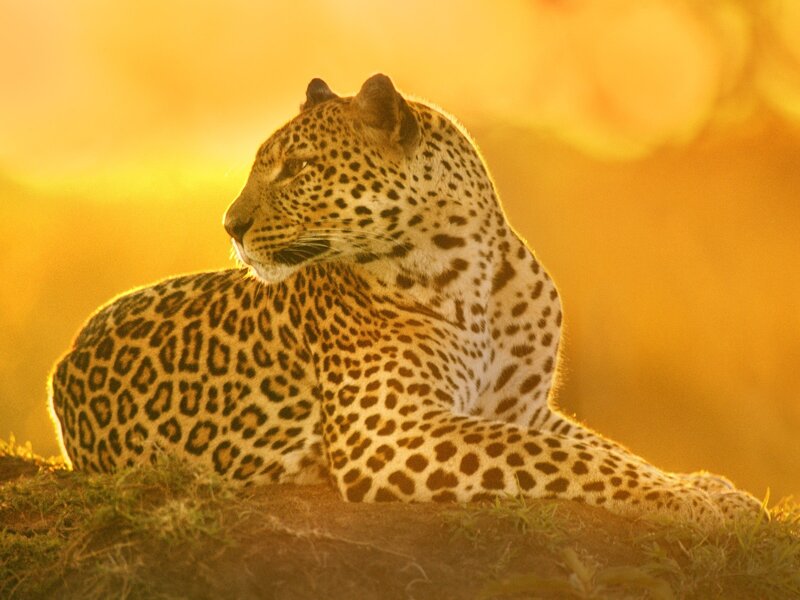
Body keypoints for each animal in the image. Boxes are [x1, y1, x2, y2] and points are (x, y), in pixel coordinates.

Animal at [49, 74, 762, 529]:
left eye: (296, 168)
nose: (230, 225)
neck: (479, 276)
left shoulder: (522, 408)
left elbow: (607, 449)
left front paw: (705, 487)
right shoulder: (389, 432)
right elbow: (568, 457)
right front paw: (696, 504)